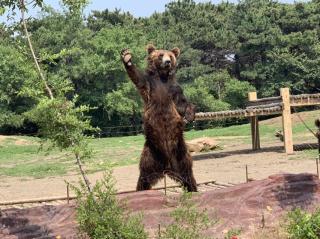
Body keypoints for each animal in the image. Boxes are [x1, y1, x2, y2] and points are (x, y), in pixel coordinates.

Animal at [120, 44, 198, 192]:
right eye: (161, 55)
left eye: (170, 56)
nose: (167, 62)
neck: (162, 77)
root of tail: (167, 167)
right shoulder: (150, 85)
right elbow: (138, 78)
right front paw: (127, 57)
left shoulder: (174, 89)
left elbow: (182, 102)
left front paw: (190, 115)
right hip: (150, 153)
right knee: (144, 176)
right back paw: (141, 190)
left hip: (180, 151)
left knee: (188, 173)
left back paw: (193, 188)